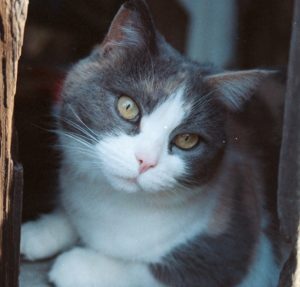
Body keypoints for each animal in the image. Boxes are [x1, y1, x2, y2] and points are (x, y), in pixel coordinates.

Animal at [19, 0, 284, 287]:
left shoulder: (232, 239)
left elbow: (152, 272)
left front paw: (77, 265)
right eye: (127, 107)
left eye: (187, 139)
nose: (145, 161)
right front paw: (37, 233)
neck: (116, 203)